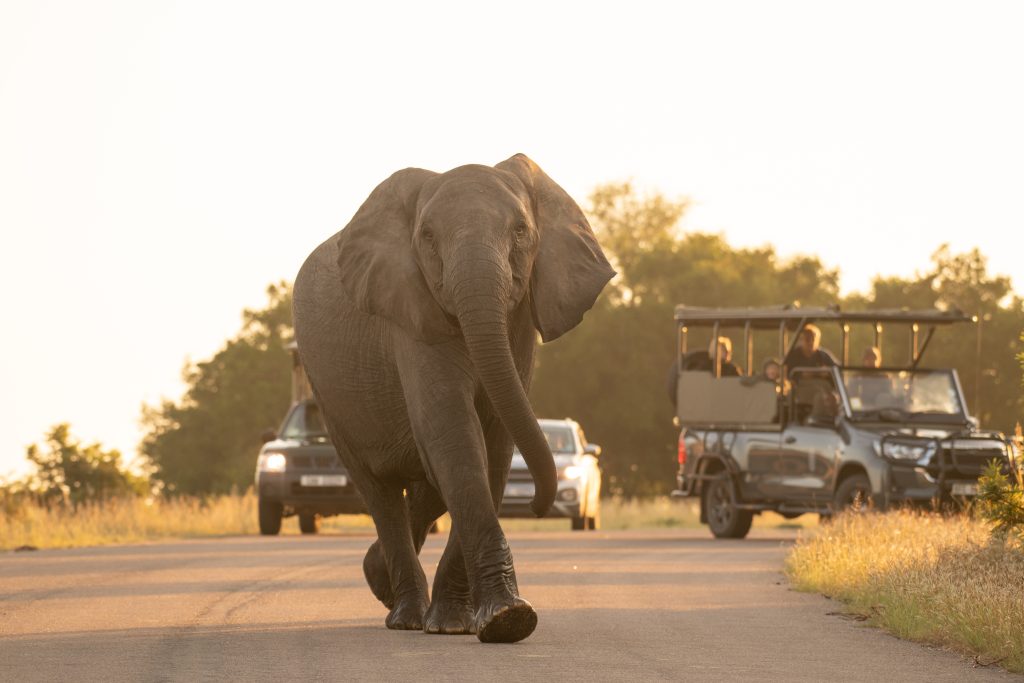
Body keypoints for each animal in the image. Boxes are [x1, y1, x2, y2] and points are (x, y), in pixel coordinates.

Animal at [292, 153, 613, 643]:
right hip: (327, 391)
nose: (537, 505)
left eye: (521, 230)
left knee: (425, 488)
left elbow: (494, 444)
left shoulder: (519, 319)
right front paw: (508, 620)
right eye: (426, 237)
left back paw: (380, 581)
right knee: (380, 492)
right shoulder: (409, 310)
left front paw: (468, 623)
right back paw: (404, 615)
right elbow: (455, 434)